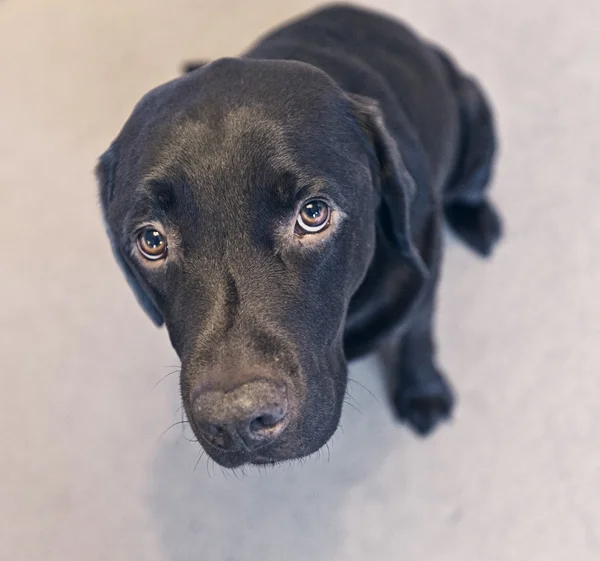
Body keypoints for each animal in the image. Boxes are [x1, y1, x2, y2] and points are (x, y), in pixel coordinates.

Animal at [97, 4, 502, 468]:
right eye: (152, 241)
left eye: (313, 214)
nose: (238, 421)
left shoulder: (422, 271)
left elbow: (417, 334)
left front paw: (423, 393)